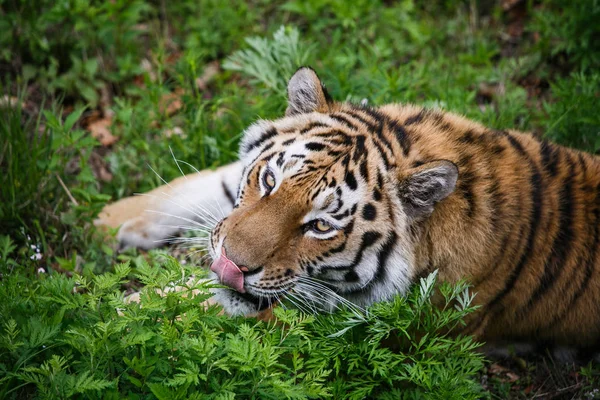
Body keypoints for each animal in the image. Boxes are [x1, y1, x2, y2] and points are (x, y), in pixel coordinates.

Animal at [98, 67, 600, 348]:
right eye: (268, 181)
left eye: (321, 226)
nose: (229, 266)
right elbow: (197, 185)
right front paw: (108, 221)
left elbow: (184, 303)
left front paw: (111, 313)